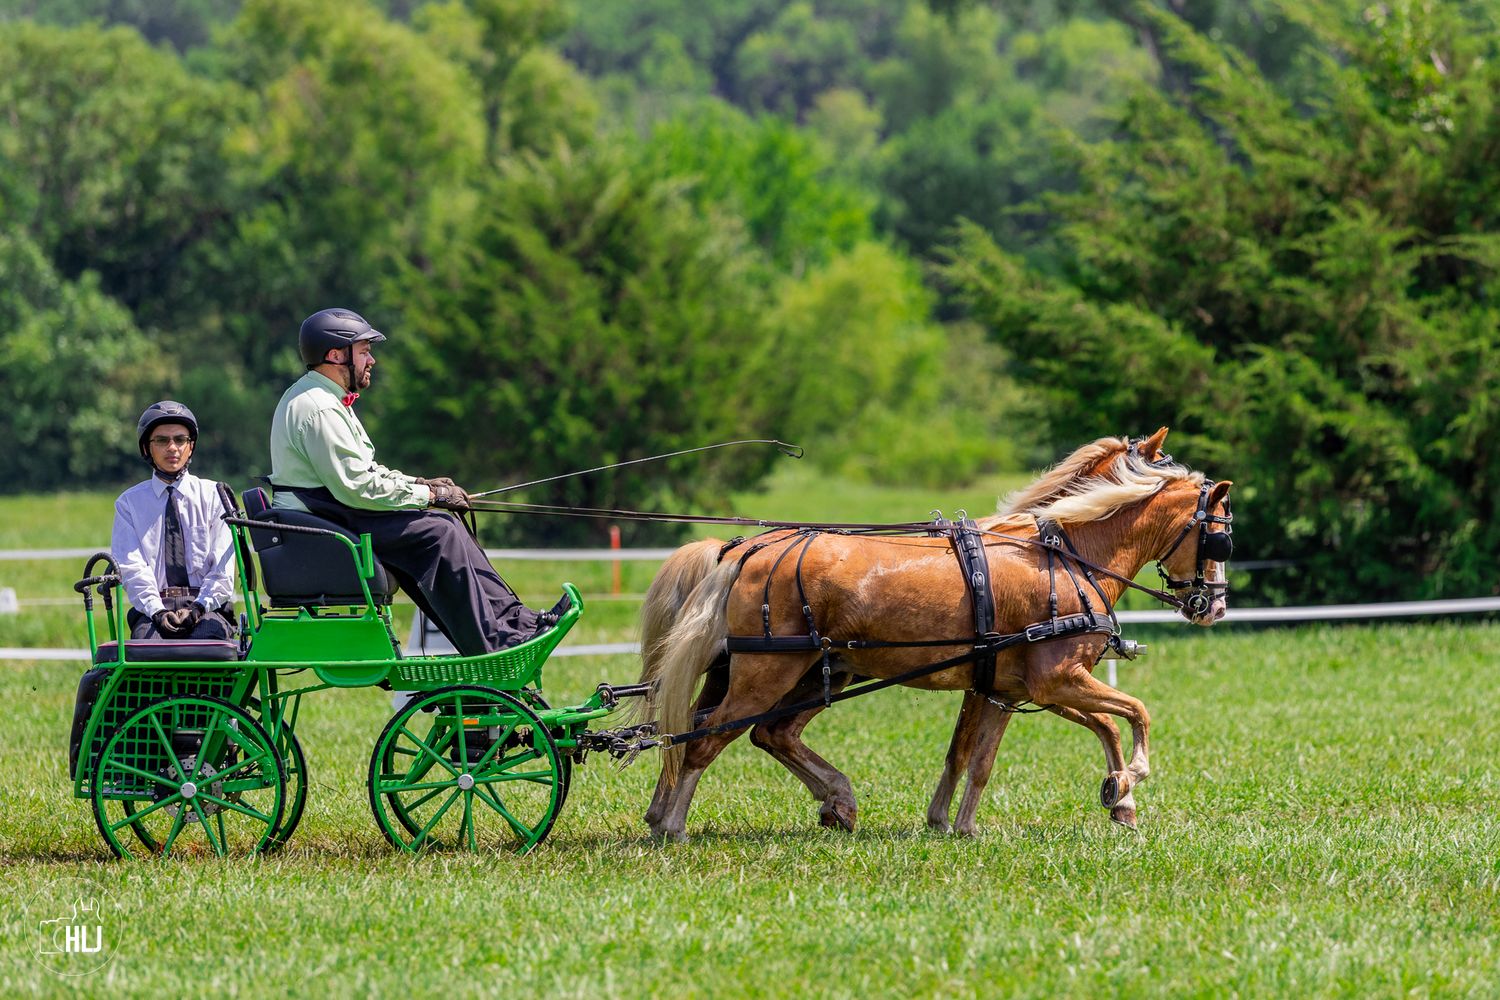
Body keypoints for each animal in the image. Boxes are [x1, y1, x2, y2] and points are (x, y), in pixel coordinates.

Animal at [637, 429, 1231, 841]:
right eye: (1220, 532)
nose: (1216, 605)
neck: (1064, 556)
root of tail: (742, 551)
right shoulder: (1056, 679)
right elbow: (1133, 713)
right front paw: (1128, 781)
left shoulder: (1005, 688)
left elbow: (976, 756)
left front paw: (956, 824)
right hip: (768, 673)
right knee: (707, 736)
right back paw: (676, 825)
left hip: (799, 673)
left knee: (746, 731)